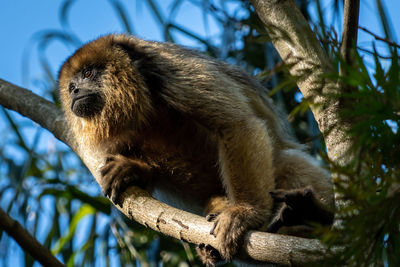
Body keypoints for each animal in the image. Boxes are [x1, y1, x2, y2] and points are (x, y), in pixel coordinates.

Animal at [57, 34, 334, 266]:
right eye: (71, 85)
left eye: (88, 73)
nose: (74, 90)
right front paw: (132, 169)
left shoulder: (170, 70)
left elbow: (236, 124)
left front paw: (245, 213)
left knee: (287, 163)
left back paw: (314, 215)